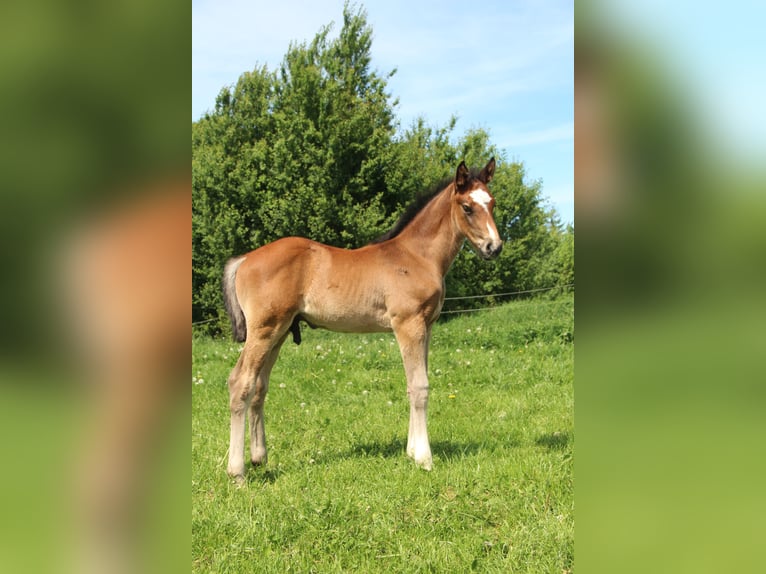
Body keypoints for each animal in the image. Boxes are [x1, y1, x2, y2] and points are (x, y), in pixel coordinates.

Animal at [222, 158, 502, 481]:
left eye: (492, 203)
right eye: (467, 207)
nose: (494, 247)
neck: (417, 256)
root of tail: (244, 259)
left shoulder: (426, 327)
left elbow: (413, 384)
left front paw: (410, 451)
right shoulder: (408, 325)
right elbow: (419, 387)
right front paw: (424, 458)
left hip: (278, 333)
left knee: (259, 386)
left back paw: (259, 457)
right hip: (264, 330)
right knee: (240, 382)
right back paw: (237, 472)